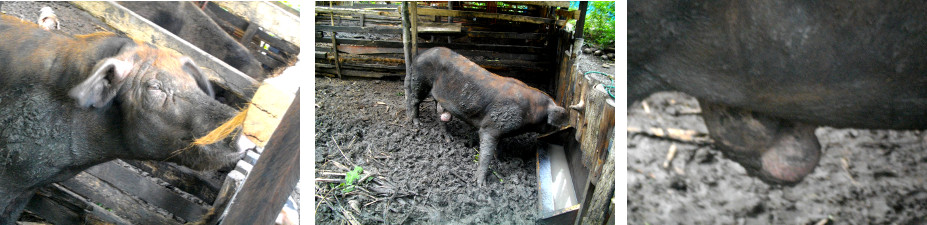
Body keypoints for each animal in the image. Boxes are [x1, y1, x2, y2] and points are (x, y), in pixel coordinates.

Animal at [408, 47, 568, 186]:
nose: (565, 127)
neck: (531, 112)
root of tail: (420, 54)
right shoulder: (490, 126)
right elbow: (486, 153)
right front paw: (480, 184)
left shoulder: (502, 128)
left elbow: (499, 147)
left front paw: (502, 160)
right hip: (419, 81)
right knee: (414, 100)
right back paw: (417, 124)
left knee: (439, 114)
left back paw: (448, 139)